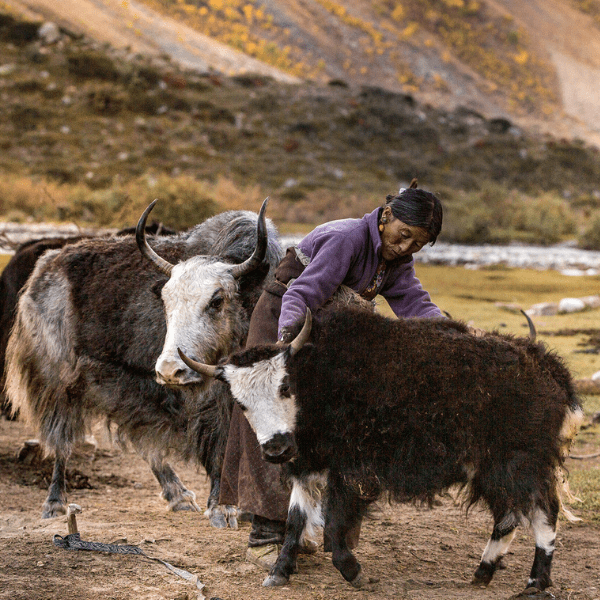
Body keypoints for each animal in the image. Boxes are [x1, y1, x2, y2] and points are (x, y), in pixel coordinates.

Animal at [178, 305, 584, 592]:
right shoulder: (307, 466)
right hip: (488, 468)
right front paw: (279, 572)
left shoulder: (352, 470)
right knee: (508, 516)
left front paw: (354, 572)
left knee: (544, 513)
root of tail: (548, 367)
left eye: (284, 386)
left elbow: (333, 524)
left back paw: (535, 584)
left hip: (520, 462)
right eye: (241, 403)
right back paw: (482, 573)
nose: (277, 448)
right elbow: (295, 521)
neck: (318, 381)